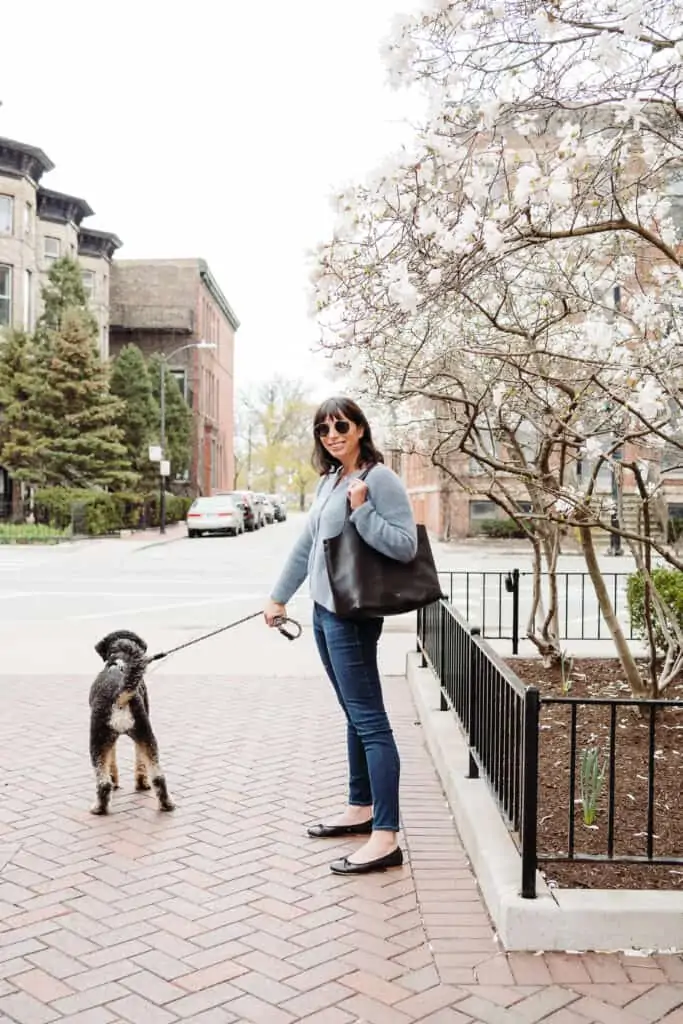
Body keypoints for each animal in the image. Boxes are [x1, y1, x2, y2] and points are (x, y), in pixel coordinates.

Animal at [89, 622, 175, 815]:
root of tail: (120, 695)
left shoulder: (107, 739)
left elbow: (112, 760)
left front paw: (117, 780)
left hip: (97, 740)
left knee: (103, 782)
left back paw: (98, 807)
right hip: (146, 734)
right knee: (158, 776)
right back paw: (167, 804)